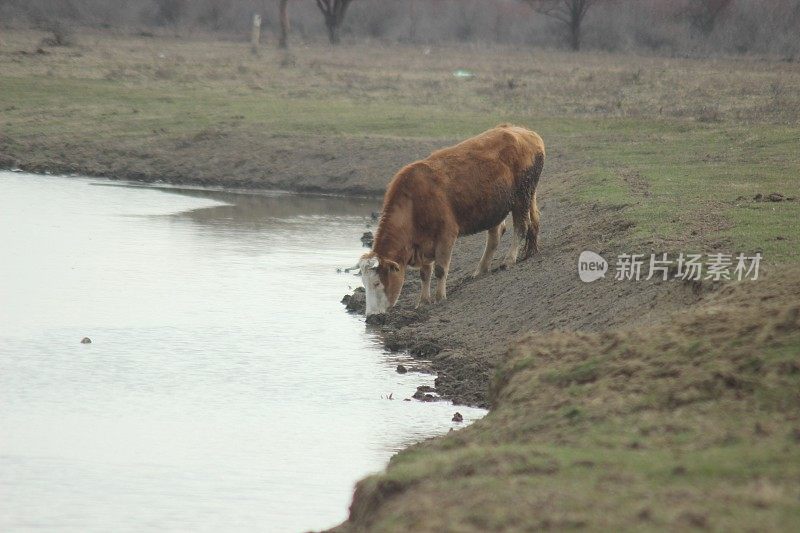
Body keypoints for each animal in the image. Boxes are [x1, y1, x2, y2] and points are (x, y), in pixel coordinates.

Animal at [354, 123, 548, 316]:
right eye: (365, 284)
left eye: (377, 283)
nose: (371, 315)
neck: (414, 204)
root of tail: (523, 131)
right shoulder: (423, 244)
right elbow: (425, 273)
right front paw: (423, 301)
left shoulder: (446, 234)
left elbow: (440, 270)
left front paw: (440, 297)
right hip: (497, 206)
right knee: (496, 234)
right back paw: (481, 269)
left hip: (522, 197)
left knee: (521, 227)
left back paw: (508, 260)